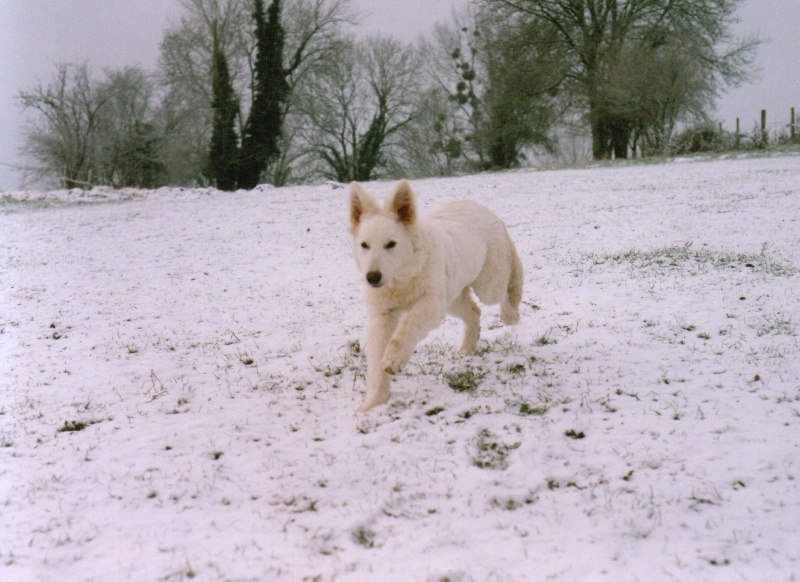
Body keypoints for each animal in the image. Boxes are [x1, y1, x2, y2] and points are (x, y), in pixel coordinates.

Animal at [346, 180, 520, 412]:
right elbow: (375, 359)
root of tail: (478, 206)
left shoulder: (431, 304)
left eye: (391, 244)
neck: (402, 278)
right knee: (474, 312)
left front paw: (394, 359)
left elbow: (408, 325)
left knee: (504, 289)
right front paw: (375, 402)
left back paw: (511, 315)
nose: (372, 277)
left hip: (486, 285)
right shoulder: (382, 315)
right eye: (364, 245)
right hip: (452, 297)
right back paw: (467, 349)